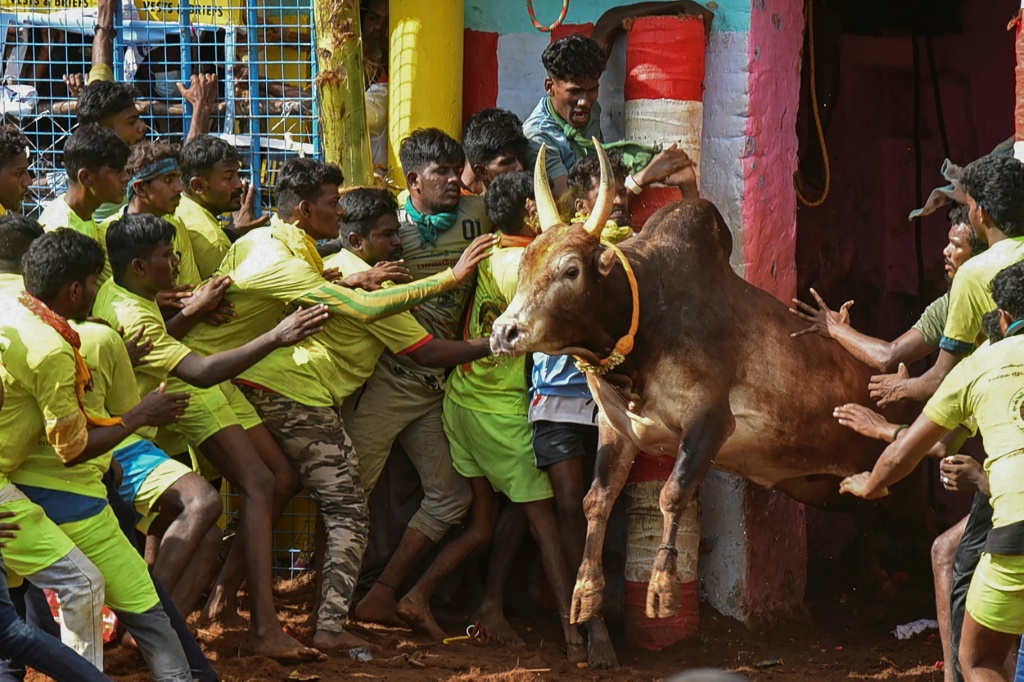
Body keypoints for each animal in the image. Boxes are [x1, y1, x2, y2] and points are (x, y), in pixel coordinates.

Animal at [491, 142, 901, 622]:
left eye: (570, 270)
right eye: (522, 265)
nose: (503, 333)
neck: (646, 316)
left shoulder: (711, 420)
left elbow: (673, 493)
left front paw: (663, 587)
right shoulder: (616, 429)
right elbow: (597, 500)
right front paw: (585, 591)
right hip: (828, 487)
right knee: (867, 516)